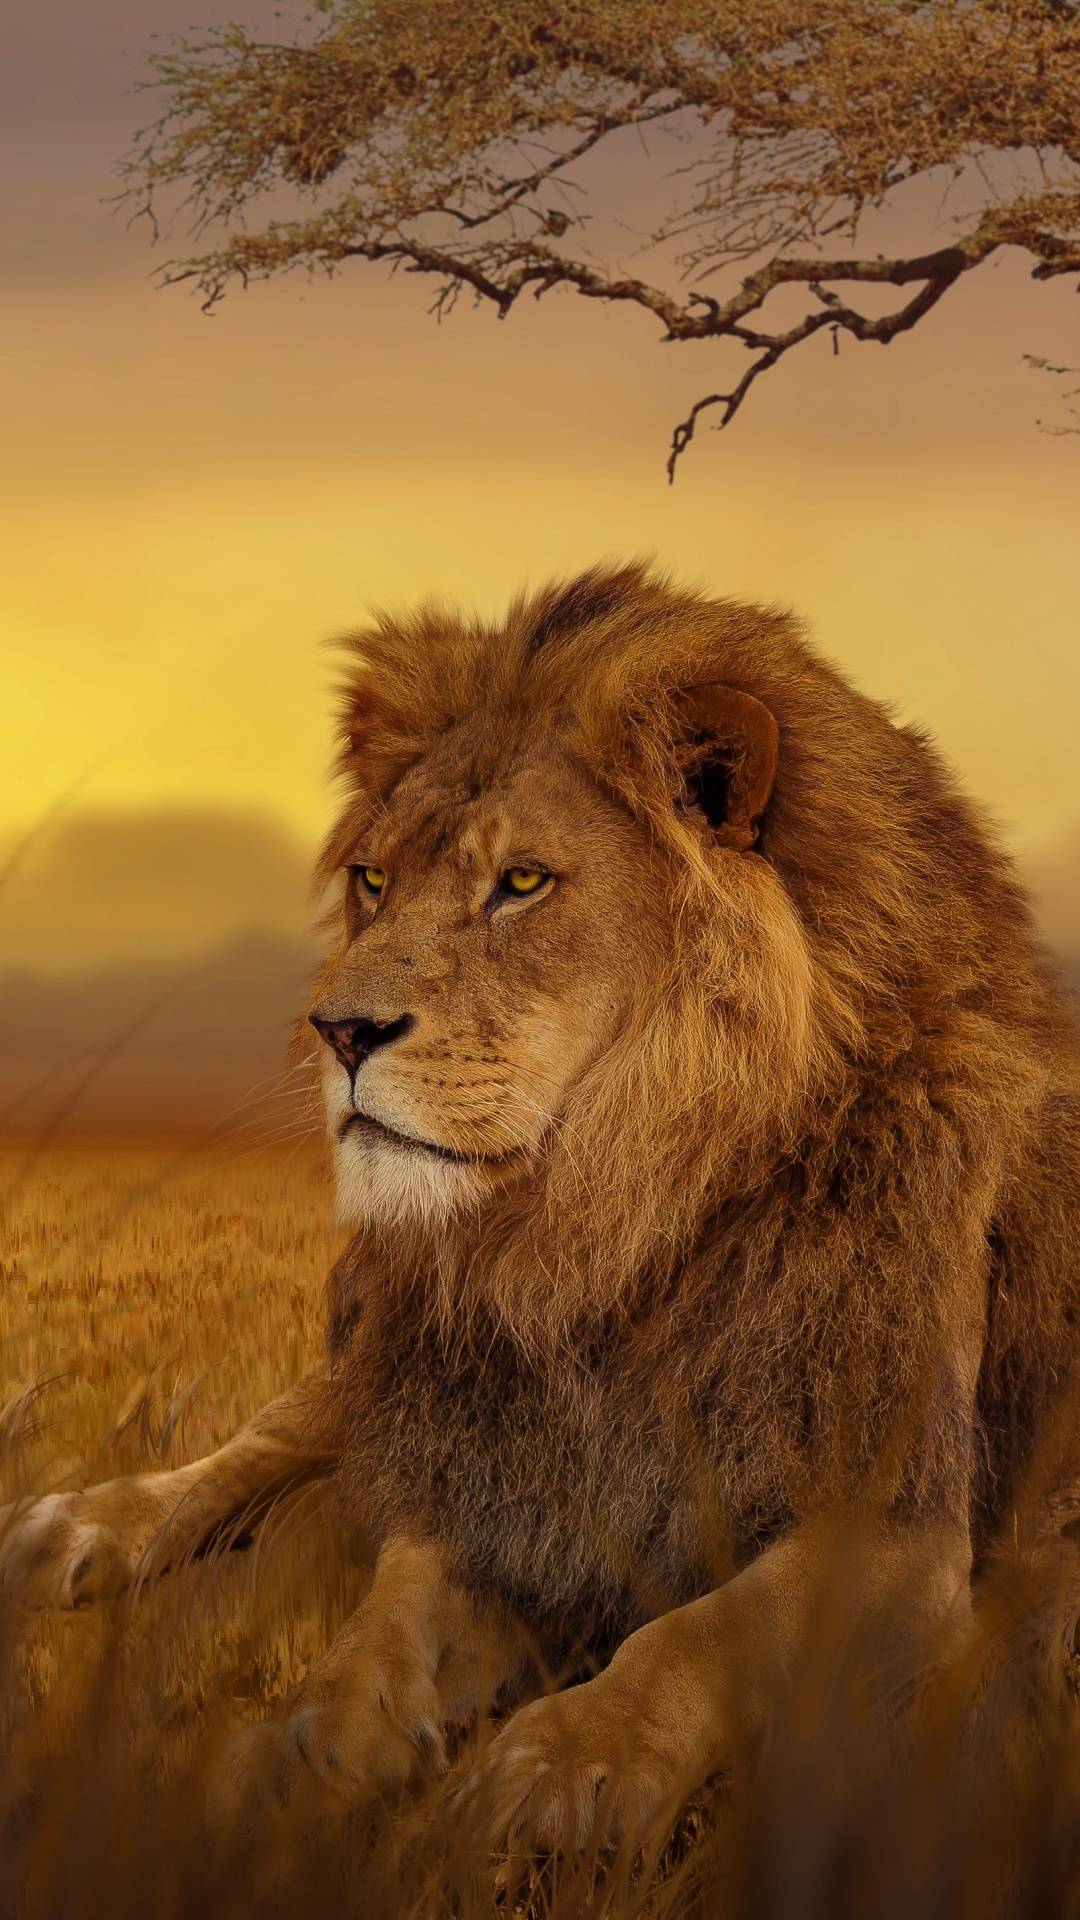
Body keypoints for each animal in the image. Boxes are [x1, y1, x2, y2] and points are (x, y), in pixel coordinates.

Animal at [6, 562, 1080, 1849]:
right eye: (374, 881)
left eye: (520, 883)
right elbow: (384, 1618)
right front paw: (299, 1746)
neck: (607, 1231)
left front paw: (564, 1762)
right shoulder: (483, 1467)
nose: (339, 1032)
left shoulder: (901, 1525)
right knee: (278, 1432)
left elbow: (698, 1631)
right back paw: (82, 1530)